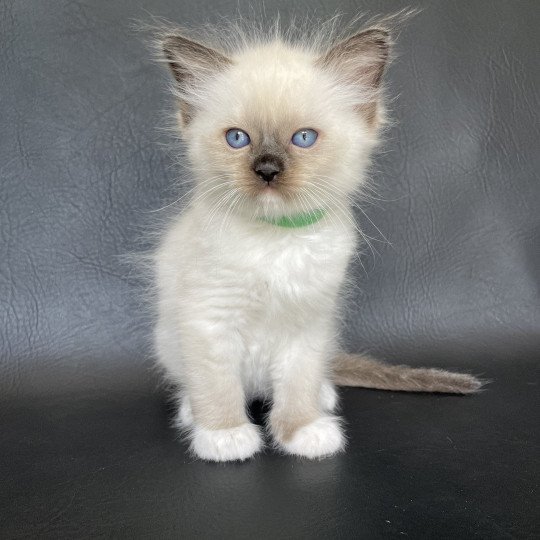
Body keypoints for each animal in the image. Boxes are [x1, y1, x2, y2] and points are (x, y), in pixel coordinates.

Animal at [151, 20, 480, 460]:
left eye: (303, 138)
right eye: (237, 139)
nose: (267, 170)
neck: (277, 239)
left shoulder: (308, 325)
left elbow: (298, 385)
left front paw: (303, 431)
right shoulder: (210, 320)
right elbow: (216, 385)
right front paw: (225, 436)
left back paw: (324, 397)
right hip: (169, 339)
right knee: (195, 382)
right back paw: (191, 413)